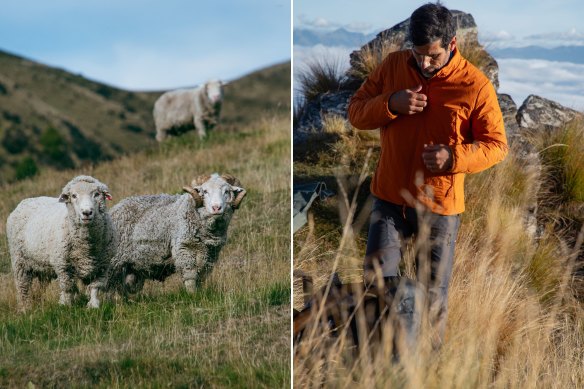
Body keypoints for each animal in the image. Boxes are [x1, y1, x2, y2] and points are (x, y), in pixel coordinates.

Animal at [7, 175, 115, 310]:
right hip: (19, 261)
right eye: (74, 195)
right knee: (23, 288)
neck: (87, 246)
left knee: (41, 286)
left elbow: (95, 287)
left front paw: (93, 306)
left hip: (42, 267)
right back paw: (25, 309)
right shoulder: (63, 265)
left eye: (97, 194)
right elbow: (67, 288)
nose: (87, 212)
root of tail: (26, 201)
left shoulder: (103, 266)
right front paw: (66, 305)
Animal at [106, 172, 244, 294]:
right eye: (204, 191)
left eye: (227, 191)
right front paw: (193, 296)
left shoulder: (210, 256)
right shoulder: (185, 249)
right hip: (113, 261)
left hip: (132, 268)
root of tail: (116, 208)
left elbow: (200, 278)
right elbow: (190, 277)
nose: (216, 208)